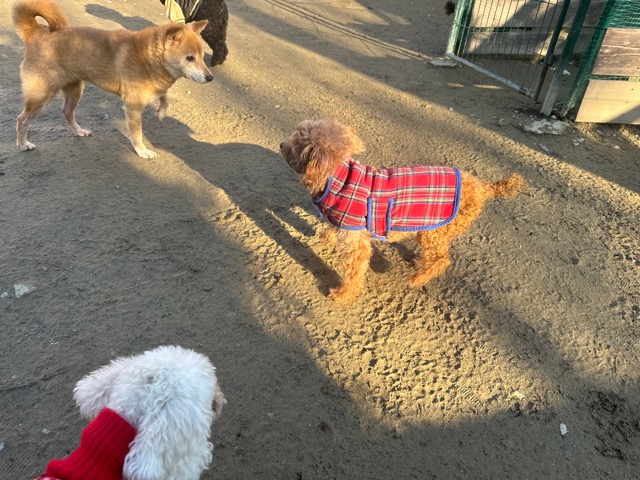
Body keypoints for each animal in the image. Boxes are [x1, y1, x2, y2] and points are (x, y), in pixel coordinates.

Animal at [12, 0, 214, 159]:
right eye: (190, 58)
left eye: (203, 57)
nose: (210, 77)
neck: (149, 56)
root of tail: (36, 31)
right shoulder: (133, 107)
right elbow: (137, 134)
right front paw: (142, 151)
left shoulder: (155, 89)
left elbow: (165, 98)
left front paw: (160, 114)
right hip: (41, 96)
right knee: (22, 120)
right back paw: (22, 144)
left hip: (75, 90)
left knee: (67, 112)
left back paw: (78, 131)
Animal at [279, 119, 525, 302]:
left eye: (296, 144)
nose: (281, 145)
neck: (337, 178)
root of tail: (483, 187)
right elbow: (331, 226)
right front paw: (325, 235)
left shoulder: (356, 240)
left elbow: (354, 271)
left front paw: (343, 295)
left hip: (434, 232)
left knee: (441, 260)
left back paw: (417, 278)